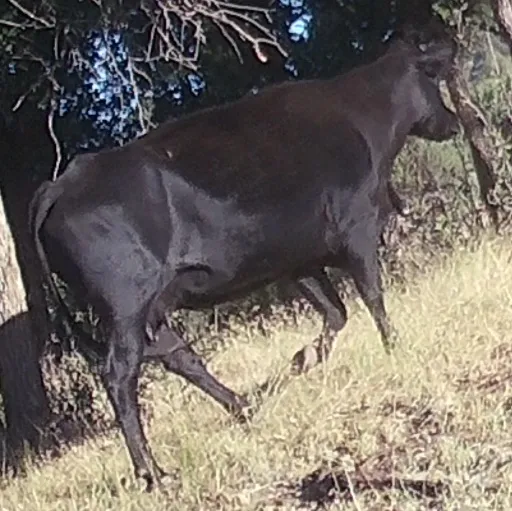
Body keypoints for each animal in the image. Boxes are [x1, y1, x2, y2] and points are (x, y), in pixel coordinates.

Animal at [30, 31, 458, 488]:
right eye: (434, 79)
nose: (453, 121)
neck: (364, 117)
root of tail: (65, 178)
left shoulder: (299, 260)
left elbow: (336, 313)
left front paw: (303, 358)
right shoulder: (356, 229)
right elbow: (373, 297)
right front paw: (396, 347)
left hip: (151, 306)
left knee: (178, 355)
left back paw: (243, 407)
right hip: (127, 304)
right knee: (120, 374)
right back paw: (153, 472)